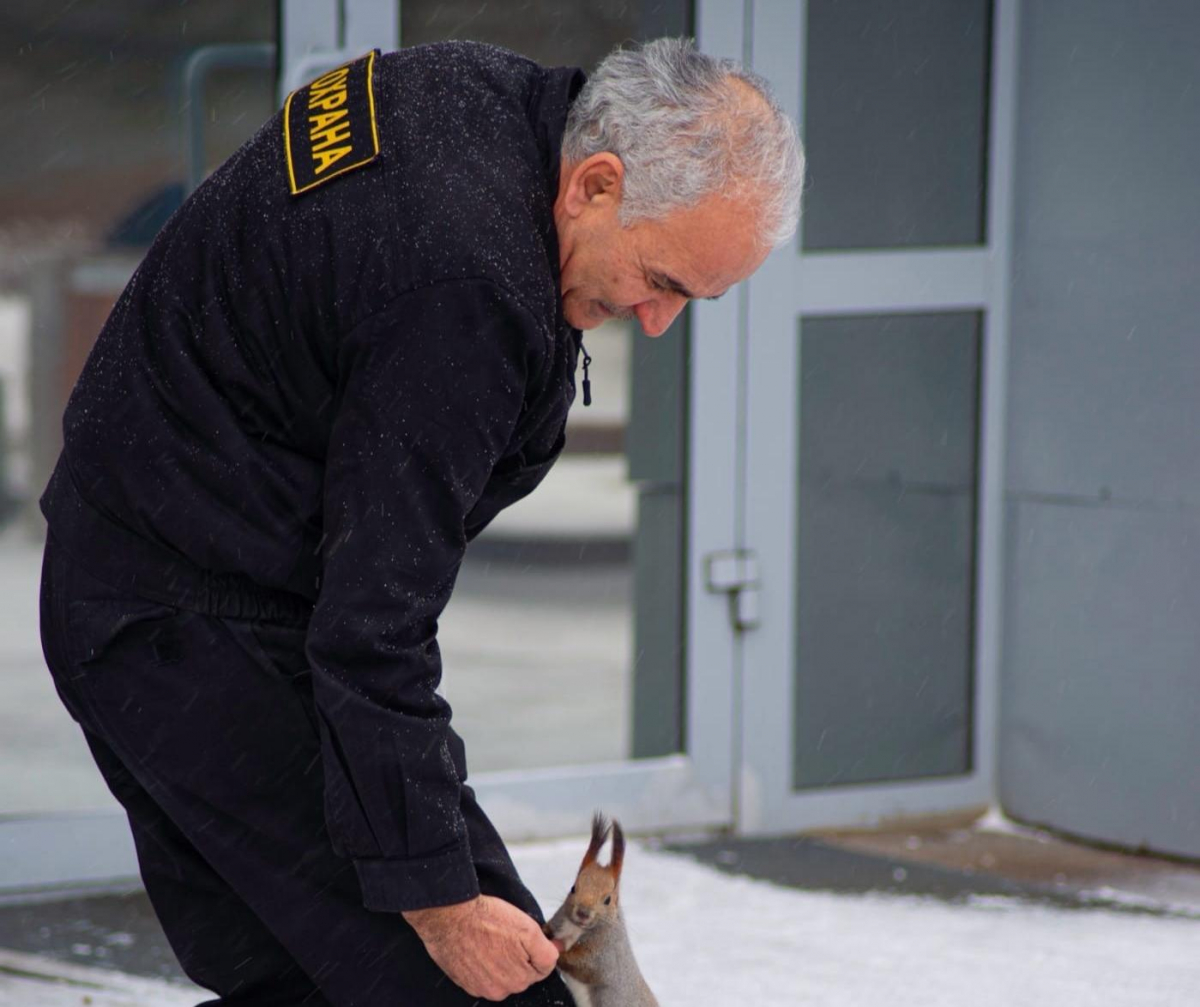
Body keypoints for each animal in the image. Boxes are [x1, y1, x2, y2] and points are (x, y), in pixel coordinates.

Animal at [542, 811, 662, 1007]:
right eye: (573, 888)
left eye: (608, 900)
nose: (582, 913)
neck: (576, 928)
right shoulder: (559, 922)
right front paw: (541, 929)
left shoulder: (605, 954)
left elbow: (582, 965)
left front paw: (558, 954)